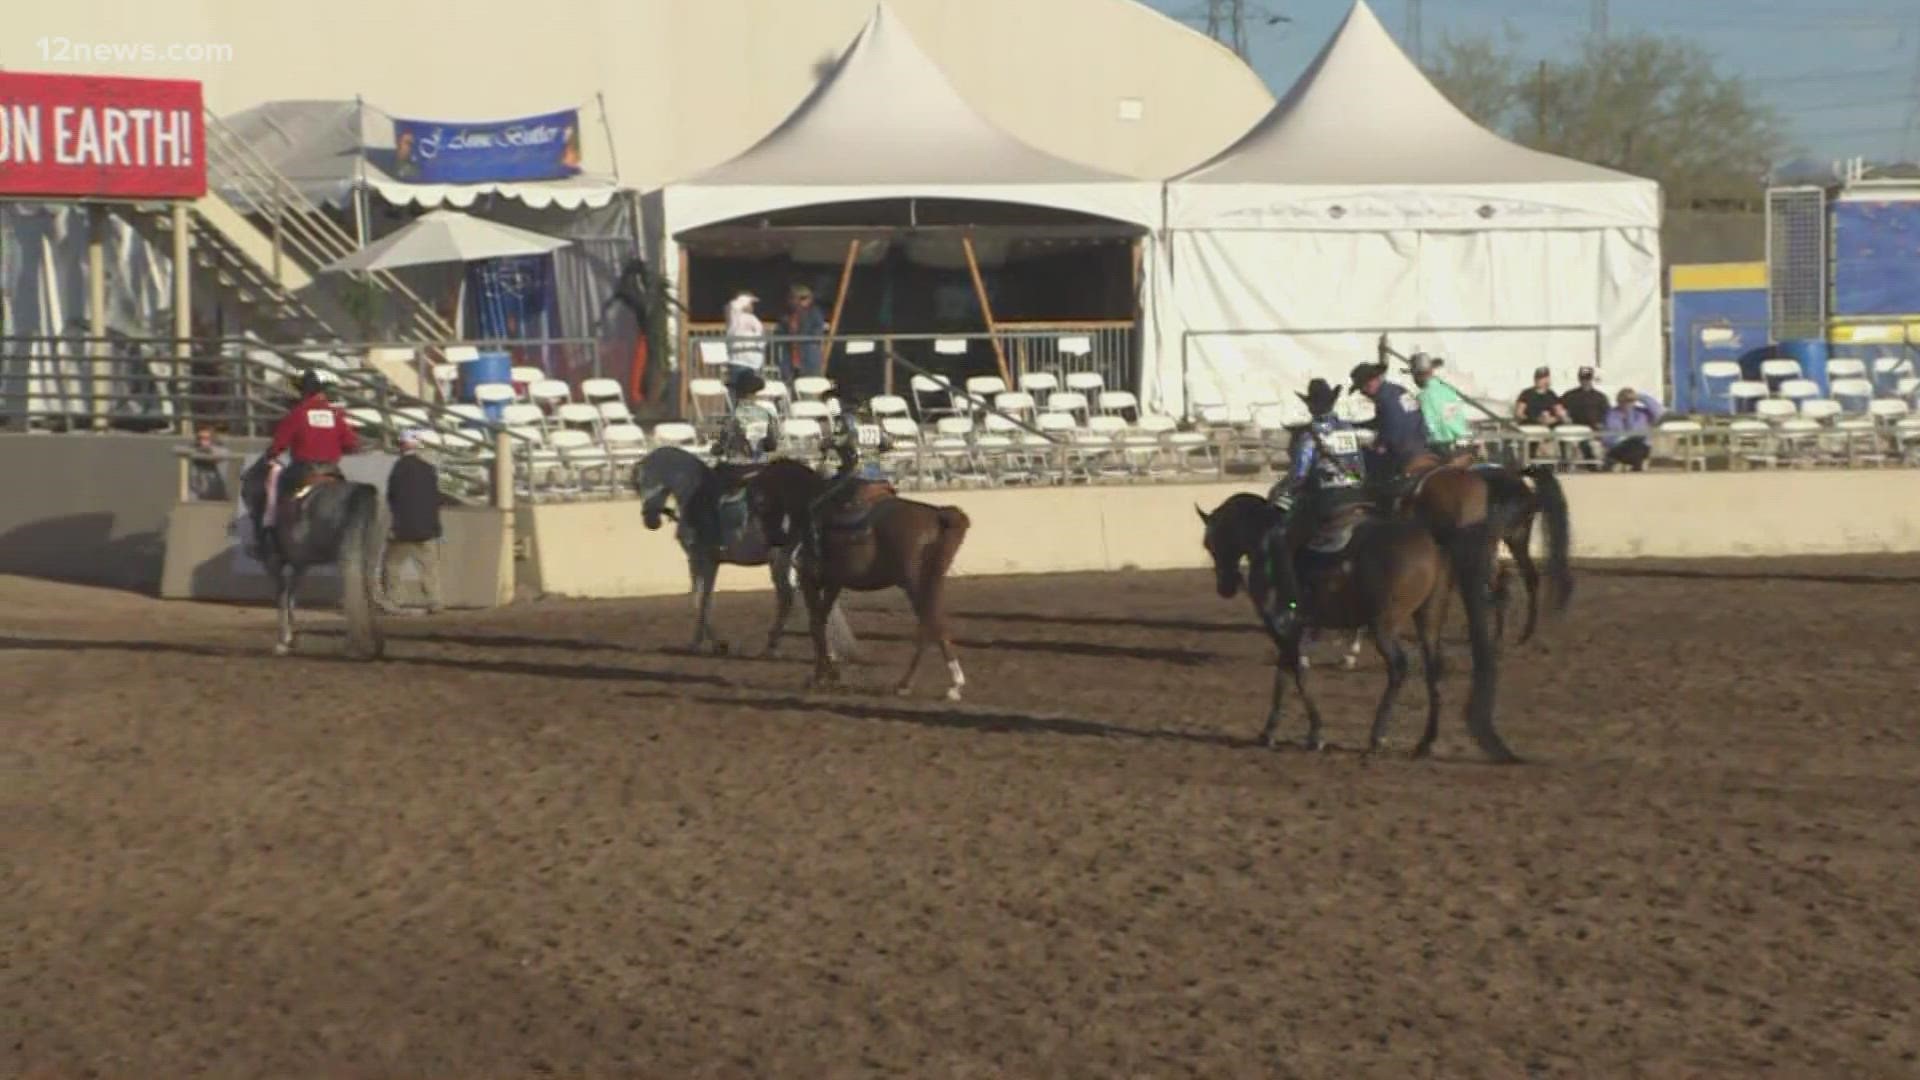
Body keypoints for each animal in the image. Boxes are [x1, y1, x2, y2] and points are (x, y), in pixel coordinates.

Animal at [240, 453, 382, 657]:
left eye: (245, 490)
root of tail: (360, 492)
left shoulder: (274, 564)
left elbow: (282, 598)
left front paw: (283, 642)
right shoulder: (301, 565)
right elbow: (291, 598)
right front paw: (291, 639)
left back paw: (355, 646)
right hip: (369, 557)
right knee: (366, 590)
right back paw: (373, 644)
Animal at [629, 443, 856, 657]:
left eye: (644, 482)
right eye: (637, 485)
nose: (650, 520)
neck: (693, 494)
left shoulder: (698, 558)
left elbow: (698, 598)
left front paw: (699, 644)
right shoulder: (713, 562)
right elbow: (706, 599)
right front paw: (716, 644)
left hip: (781, 559)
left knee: (787, 597)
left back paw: (772, 647)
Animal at [748, 457, 975, 703]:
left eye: (759, 501)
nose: (772, 540)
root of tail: (937, 515)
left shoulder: (808, 580)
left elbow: (815, 625)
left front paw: (820, 677)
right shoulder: (833, 583)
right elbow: (822, 622)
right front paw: (830, 674)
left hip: (915, 584)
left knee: (932, 625)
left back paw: (944, 685)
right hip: (930, 583)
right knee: (929, 626)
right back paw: (915, 684)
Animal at [1198, 488, 1512, 757]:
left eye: (1210, 542)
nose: (1225, 587)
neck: (1266, 544)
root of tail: (1432, 543)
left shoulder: (1281, 625)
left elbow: (1295, 671)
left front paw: (1315, 734)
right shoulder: (1292, 629)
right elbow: (1285, 672)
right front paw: (1269, 731)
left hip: (1383, 626)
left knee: (1398, 667)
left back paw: (1377, 736)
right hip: (1428, 619)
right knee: (1434, 670)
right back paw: (1426, 741)